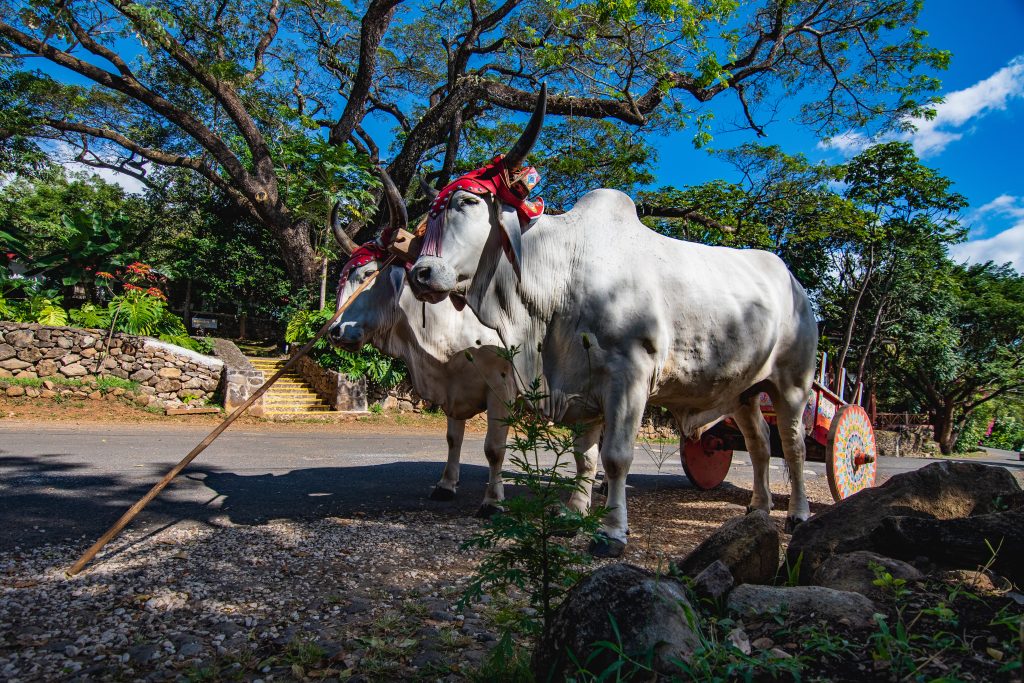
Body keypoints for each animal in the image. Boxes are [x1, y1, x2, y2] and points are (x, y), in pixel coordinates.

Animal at [328, 171, 600, 517]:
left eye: (366, 274)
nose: (335, 331)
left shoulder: (501, 387)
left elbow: (494, 448)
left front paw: (493, 501)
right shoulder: (451, 387)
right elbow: (452, 439)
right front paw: (446, 485)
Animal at [406, 86, 819, 557]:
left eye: (469, 201)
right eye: (434, 211)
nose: (421, 273)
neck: (559, 276)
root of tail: (795, 284)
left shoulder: (629, 376)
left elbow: (615, 458)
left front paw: (611, 532)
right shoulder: (578, 383)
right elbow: (584, 455)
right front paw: (572, 514)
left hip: (793, 384)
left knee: (793, 444)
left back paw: (798, 514)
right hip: (744, 392)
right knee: (760, 445)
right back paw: (758, 508)